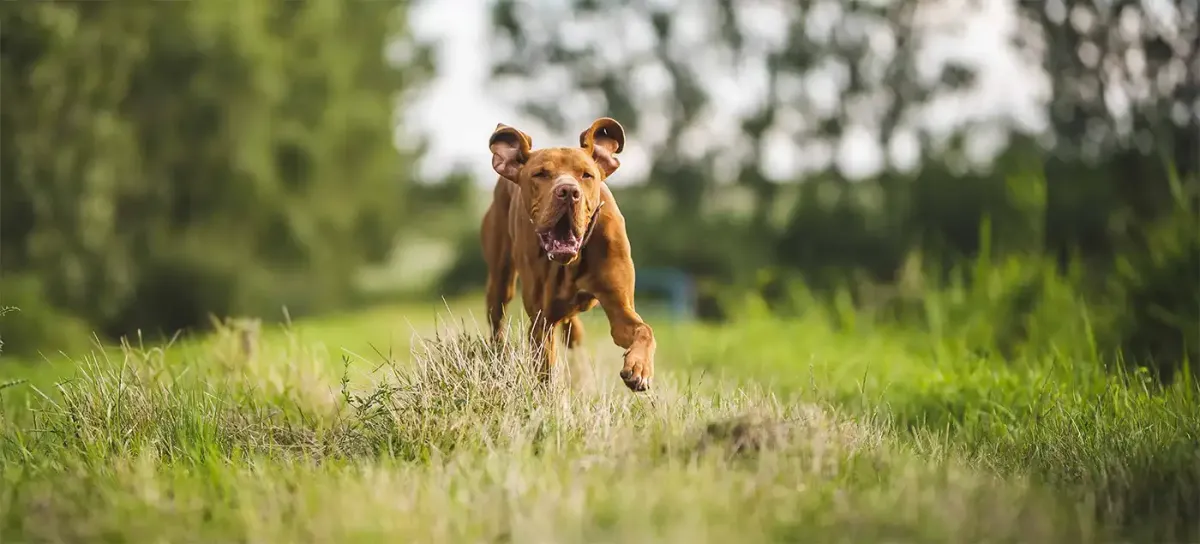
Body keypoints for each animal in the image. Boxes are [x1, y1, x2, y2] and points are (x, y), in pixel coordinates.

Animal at [480, 117, 657, 389]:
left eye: (587, 175)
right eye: (540, 174)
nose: (568, 192)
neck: (572, 261)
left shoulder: (620, 306)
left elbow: (644, 330)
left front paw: (639, 368)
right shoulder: (542, 321)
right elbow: (546, 373)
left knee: (574, 331)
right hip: (501, 280)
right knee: (497, 320)